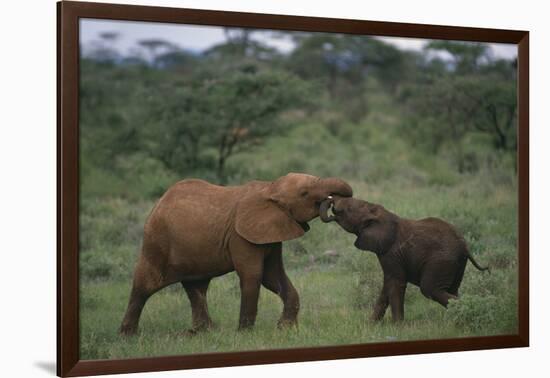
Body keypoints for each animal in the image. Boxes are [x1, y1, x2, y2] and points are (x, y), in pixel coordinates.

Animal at [120, 171, 354, 334]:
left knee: (195, 287)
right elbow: (253, 275)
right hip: (156, 241)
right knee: (144, 285)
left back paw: (202, 332)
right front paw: (244, 333)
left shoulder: (271, 233)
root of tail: (159, 203)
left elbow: (273, 276)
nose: (331, 203)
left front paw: (284, 329)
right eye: (304, 193)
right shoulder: (240, 236)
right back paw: (128, 336)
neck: (270, 187)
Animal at [322, 195, 490, 322]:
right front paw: (372, 324)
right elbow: (387, 285)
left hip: (441, 260)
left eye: (349, 209)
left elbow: (395, 282)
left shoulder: (392, 253)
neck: (378, 213)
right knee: (453, 290)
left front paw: (398, 326)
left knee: (430, 289)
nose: (330, 200)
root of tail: (465, 246)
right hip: (458, 264)